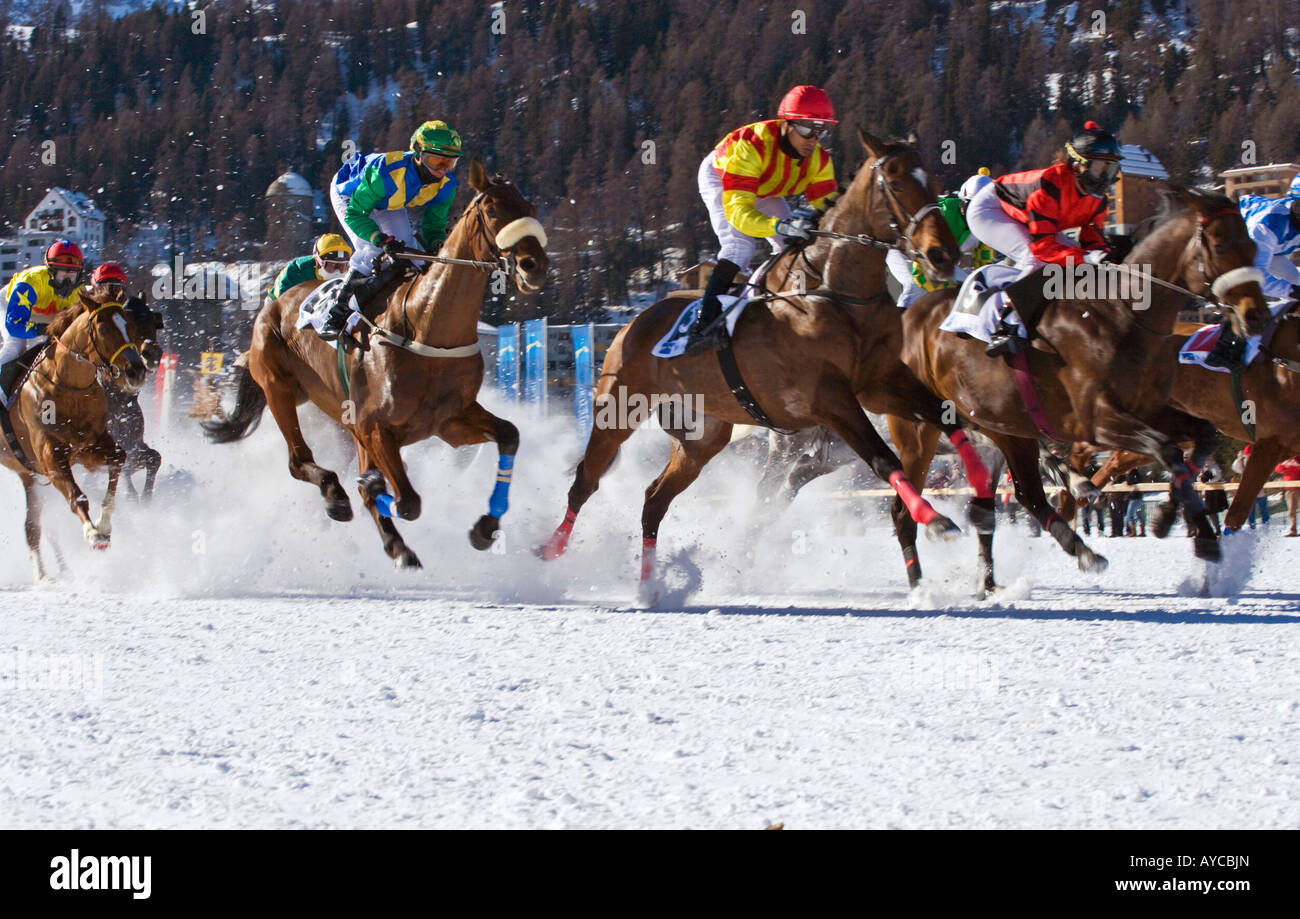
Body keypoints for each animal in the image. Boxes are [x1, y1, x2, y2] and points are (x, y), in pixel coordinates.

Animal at [0, 295, 147, 582]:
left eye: (131, 326)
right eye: (103, 329)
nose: (136, 371)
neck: (68, 387)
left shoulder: (89, 447)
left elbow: (119, 458)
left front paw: (104, 525)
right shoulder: (50, 456)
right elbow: (76, 495)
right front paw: (94, 534)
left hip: (28, 475)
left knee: (33, 526)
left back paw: (51, 572)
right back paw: (43, 575)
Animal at [201, 162, 548, 571]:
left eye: (530, 206)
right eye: (492, 210)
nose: (534, 266)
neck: (425, 324)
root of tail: (274, 301)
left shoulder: (450, 422)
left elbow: (509, 434)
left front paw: (485, 527)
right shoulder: (376, 427)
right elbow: (407, 503)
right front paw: (370, 489)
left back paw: (396, 543)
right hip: (278, 389)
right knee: (299, 460)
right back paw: (339, 498)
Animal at [538, 133, 993, 600]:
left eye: (933, 181)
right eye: (898, 184)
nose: (942, 255)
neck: (833, 295)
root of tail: (633, 322)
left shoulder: (881, 383)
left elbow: (947, 417)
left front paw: (979, 481)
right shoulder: (831, 400)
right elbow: (885, 460)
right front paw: (936, 519)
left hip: (702, 438)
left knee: (655, 499)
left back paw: (650, 586)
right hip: (619, 409)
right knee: (586, 480)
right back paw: (551, 550)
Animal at [883, 187, 1268, 592]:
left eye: (1252, 245)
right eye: (1221, 245)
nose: (1256, 315)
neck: (1121, 313)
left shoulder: (1150, 409)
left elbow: (1203, 438)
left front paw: (1166, 516)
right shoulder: (1095, 419)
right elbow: (1167, 450)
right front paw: (1204, 538)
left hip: (1004, 426)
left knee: (1018, 497)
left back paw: (1049, 559)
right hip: (918, 429)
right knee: (904, 510)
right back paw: (920, 585)